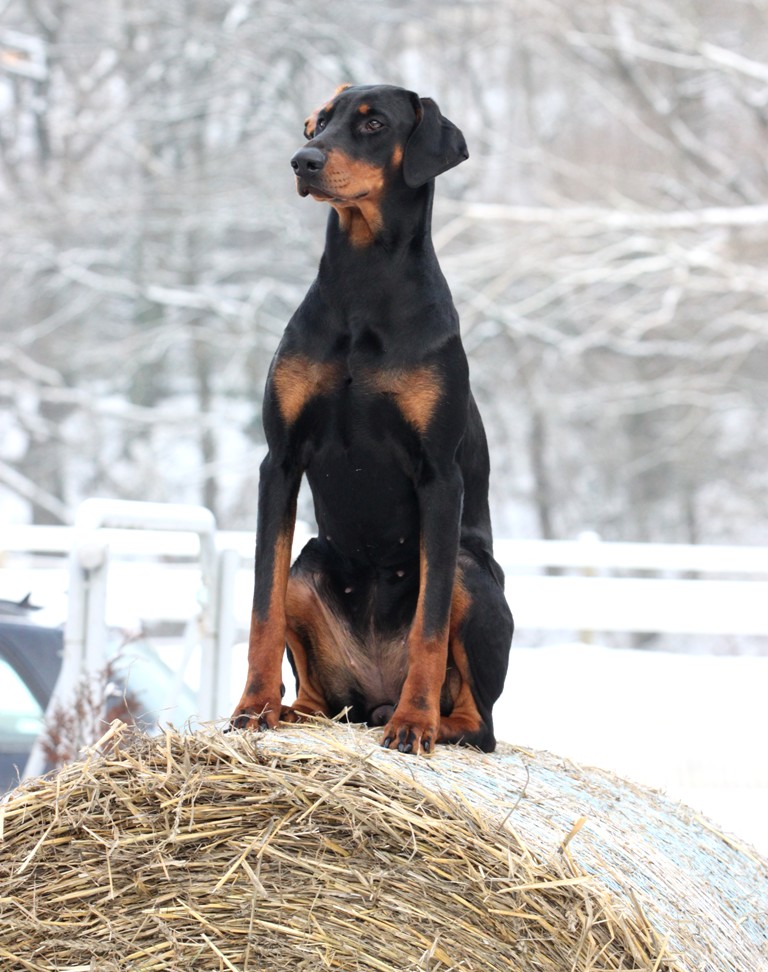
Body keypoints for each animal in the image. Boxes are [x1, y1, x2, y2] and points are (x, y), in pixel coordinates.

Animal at [231, 83, 512, 756]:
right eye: (319, 123)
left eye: (374, 124)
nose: (302, 160)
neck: (363, 284)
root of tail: (372, 693)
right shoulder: (279, 461)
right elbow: (262, 604)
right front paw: (253, 707)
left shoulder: (439, 477)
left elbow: (429, 625)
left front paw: (414, 726)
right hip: (311, 566)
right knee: (319, 682)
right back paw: (299, 711)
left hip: (471, 574)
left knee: (481, 722)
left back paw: (424, 719)